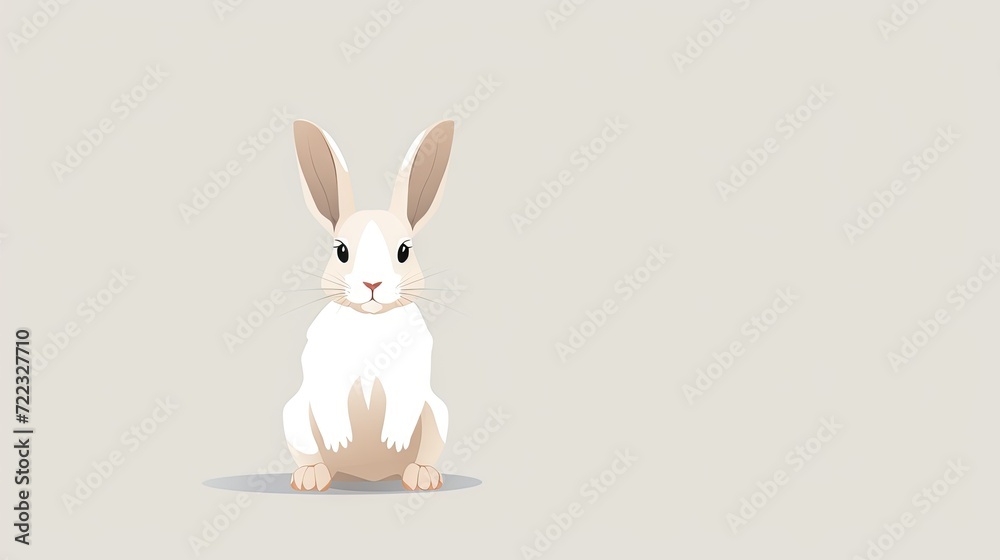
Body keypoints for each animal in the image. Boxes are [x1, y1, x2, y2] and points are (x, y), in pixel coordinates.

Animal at [282, 119, 455, 491]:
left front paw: (394, 440)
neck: (371, 321)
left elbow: (403, 403)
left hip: (437, 413)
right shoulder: (323, 369)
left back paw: (421, 476)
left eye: (404, 250)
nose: (372, 284)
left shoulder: (412, 371)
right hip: (295, 416)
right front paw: (339, 440)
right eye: (341, 251)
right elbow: (330, 403)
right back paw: (312, 476)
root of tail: (369, 476)